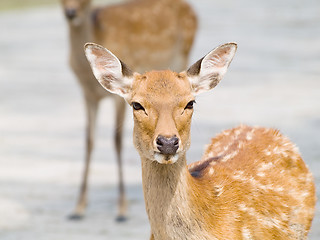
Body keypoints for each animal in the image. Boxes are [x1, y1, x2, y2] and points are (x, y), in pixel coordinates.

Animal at [59, 0, 195, 221]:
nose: (71, 13)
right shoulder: (88, 94)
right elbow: (89, 140)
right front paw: (78, 207)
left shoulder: (118, 96)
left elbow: (116, 140)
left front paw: (122, 209)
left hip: (182, 56)